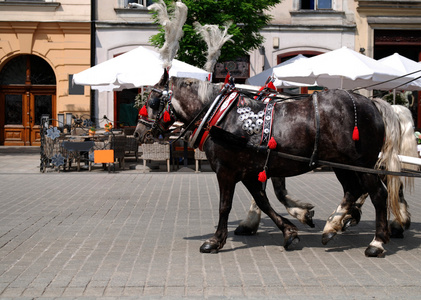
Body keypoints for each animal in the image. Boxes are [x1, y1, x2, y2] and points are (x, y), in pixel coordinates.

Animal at [135, 73, 414, 258]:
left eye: (152, 102)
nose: (138, 132)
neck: (222, 118)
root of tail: (373, 103)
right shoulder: (249, 172)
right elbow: (264, 201)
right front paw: (290, 230)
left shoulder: (226, 171)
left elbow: (226, 206)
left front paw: (214, 241)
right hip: (342, 163)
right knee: (353, 191)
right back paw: (334, 226)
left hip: (361, 163)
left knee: (378, 194)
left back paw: (377, 241)